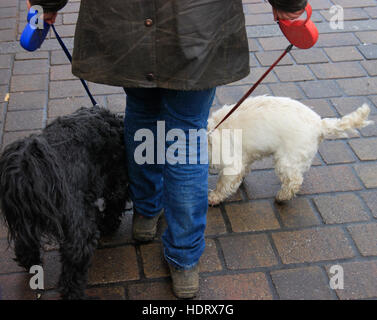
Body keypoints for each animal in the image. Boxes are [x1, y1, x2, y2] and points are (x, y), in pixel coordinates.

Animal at [0, 107, 129, 300]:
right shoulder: (116, 182)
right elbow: (115, 205)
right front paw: (108, 224)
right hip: (76, 221)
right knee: (77, 255)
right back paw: (72, 292)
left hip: (26, 218)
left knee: (25, 240)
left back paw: (29, 260)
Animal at [207, 95, 372, 205]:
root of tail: (319, 124)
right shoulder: (244, 156)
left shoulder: (231, 165)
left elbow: (223, 184)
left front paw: (213, 197)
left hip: (287, 160)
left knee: (294, 180)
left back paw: (282, 197)